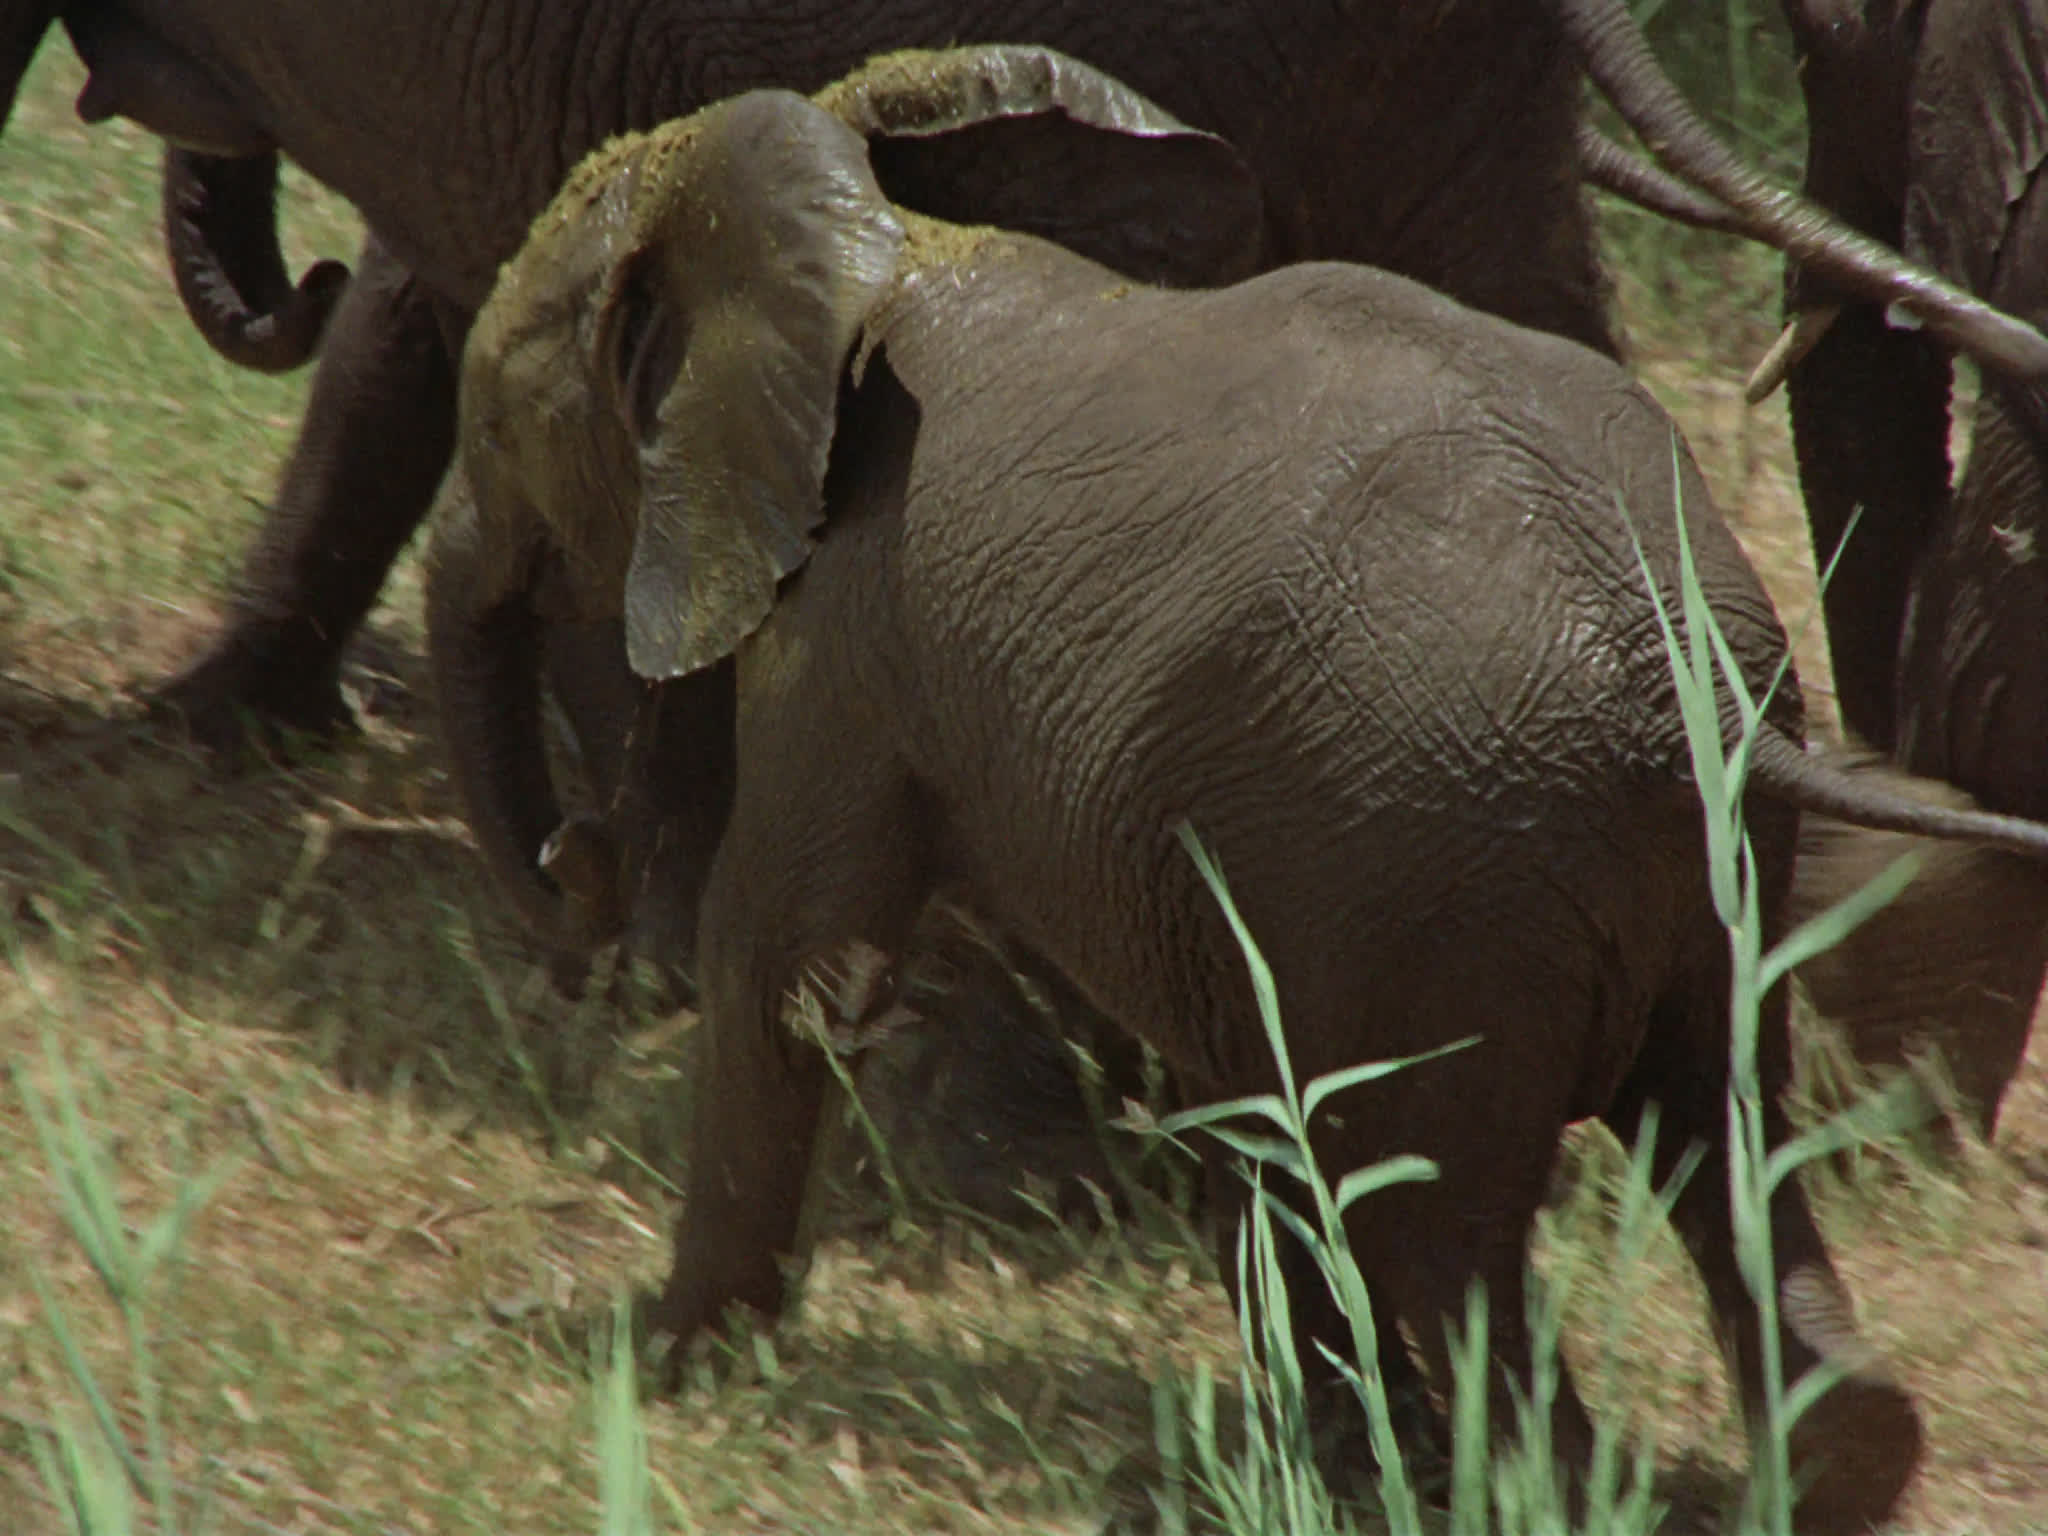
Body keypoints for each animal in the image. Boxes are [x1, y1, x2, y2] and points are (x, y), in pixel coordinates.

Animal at [425, 47, 2048, 1526]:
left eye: (495, 419)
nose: (576, 861)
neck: (882, 226)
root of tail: (1678, 677)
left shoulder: (848, 634)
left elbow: (785, 964)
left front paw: (635, 1357)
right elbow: (1230, 1091)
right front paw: (1320, 1450)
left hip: (1444, 871)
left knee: (1445, 1231)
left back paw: (1544, 1490)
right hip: (1640, 878)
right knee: (1722, 1144)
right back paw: (1832, 1467)